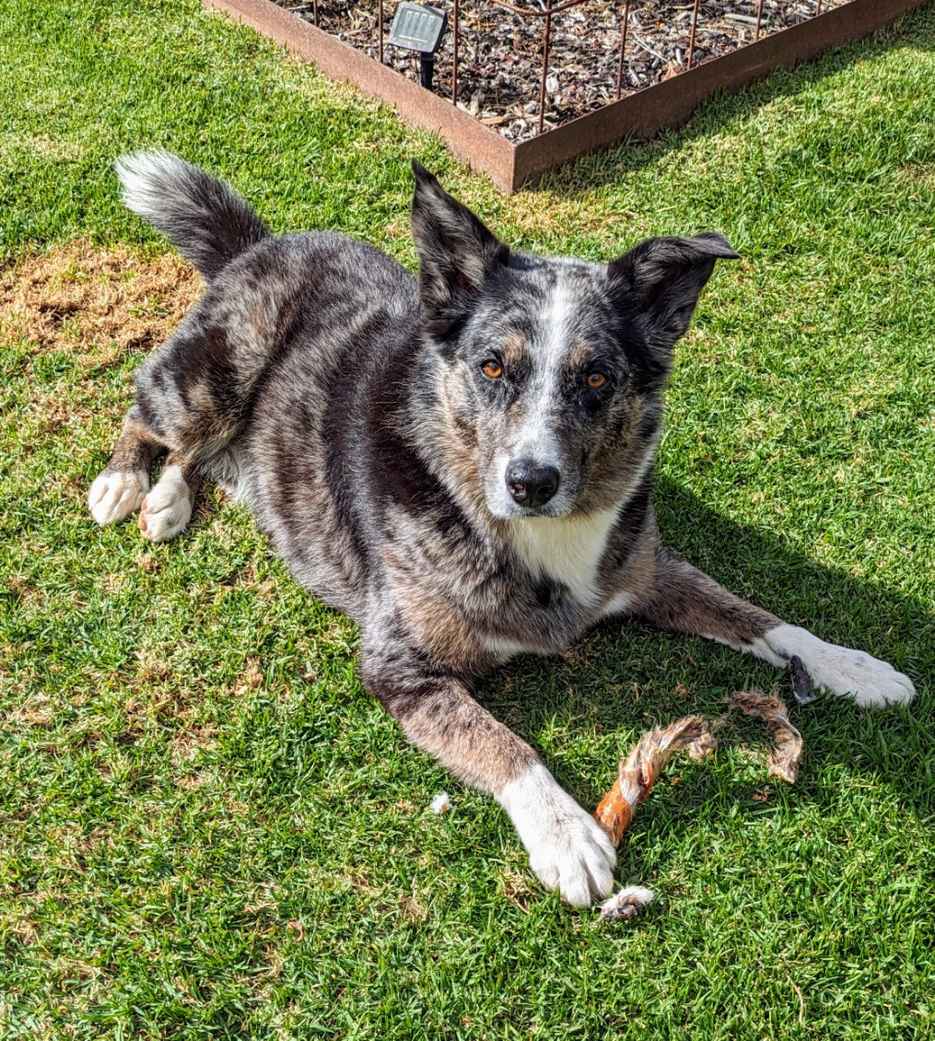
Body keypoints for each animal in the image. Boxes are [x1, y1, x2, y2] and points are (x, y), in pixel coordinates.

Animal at [91, 150, 916, 907]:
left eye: (596, 377)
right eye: (491, 367)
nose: (530, 481)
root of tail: (259, 243)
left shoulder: (650, 570)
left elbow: (761, 617)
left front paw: (853, 665)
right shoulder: (399, 665)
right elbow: (499, 740)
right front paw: (565, 833)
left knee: (207, 455)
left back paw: (168, 498)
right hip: (214, 377)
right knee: (148, 409)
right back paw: (128, 485)